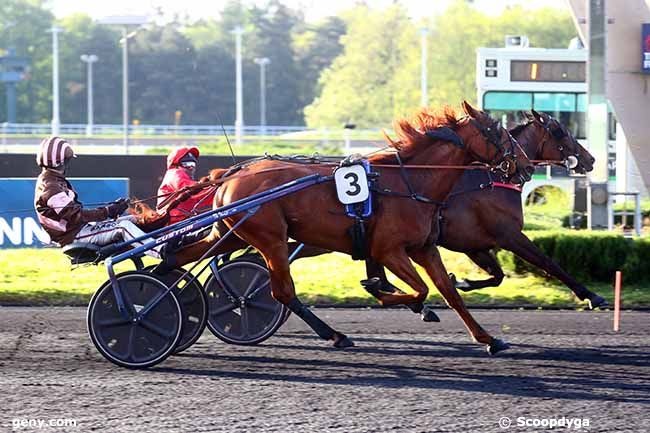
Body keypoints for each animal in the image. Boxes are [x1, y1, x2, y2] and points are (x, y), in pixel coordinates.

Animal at [171, 102, 532, 354]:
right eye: (499, 133)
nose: (527, 167)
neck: (410, 182)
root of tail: (229, 175)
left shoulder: (424, 248)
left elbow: (449, 292)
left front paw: (489, 338)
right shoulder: (387, 250)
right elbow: (420, 290)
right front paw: (384, 292)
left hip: (229, 233)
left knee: (181, 256)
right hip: (270, 239)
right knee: (282, 292)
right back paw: (334, 334)